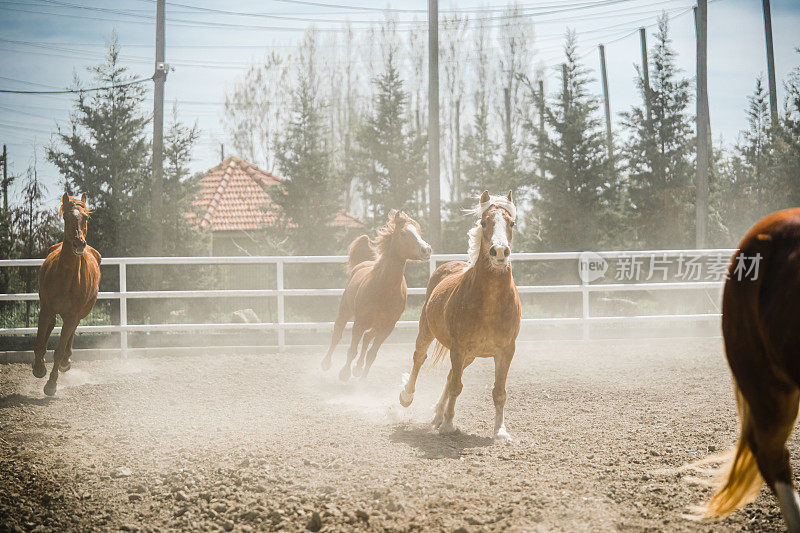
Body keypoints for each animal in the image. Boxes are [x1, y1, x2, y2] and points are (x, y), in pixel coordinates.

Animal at [32, 191, 100, 394]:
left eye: (86, 218)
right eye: (66, 217)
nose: (79, 244)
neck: (67, 277)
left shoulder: (72, 315)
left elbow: (60, 349)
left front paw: (51, 384)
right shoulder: (46, 308)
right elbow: (40, 341)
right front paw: (39, 368)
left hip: (80, 313)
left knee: (72, 332)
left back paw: (65, 362)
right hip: (50, 309)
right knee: (51, 325)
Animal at [318, 210, 432, 380]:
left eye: (419, 232)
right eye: (403, 233)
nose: (426, 249)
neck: (383, 289)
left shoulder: (387, 327)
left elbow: (372, 354)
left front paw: (362, 378)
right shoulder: (360, 322)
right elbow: (352, 349)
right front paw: (344, 373)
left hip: (376, 325)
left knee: (366, 338)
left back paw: (358, 369)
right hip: (345, 310)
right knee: (337, 333)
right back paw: (326, 363)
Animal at [398, 191, 520, 440]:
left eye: (511, 223)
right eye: (484, 222)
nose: (499, 252)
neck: (491, 302)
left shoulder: (506, 351)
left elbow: (499, 391)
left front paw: (500, 432)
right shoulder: (458, 346)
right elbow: (456, 386)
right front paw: (448, 424)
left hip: (469, 356)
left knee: (450, 375)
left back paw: (437, 414)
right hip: (427, 332)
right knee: (419, 359)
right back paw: (408, 397)